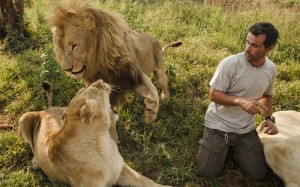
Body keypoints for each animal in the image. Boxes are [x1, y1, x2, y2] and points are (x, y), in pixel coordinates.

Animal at [18, 79, 171, 187]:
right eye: (96, 88)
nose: (100, 80)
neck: (101, 141)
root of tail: (45, 110)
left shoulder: (120, 170)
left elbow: (148, 181)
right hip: (23, 118)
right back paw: (35, 162)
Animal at [48, 0, 182, 125]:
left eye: (74, 46)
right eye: (61, 49)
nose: (66, 69)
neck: (99, 63)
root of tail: (157, 41)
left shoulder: (132, 74)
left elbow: (153, 92)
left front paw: (150, 116)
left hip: (159, 71)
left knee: (163, 83)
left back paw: (166, 97)